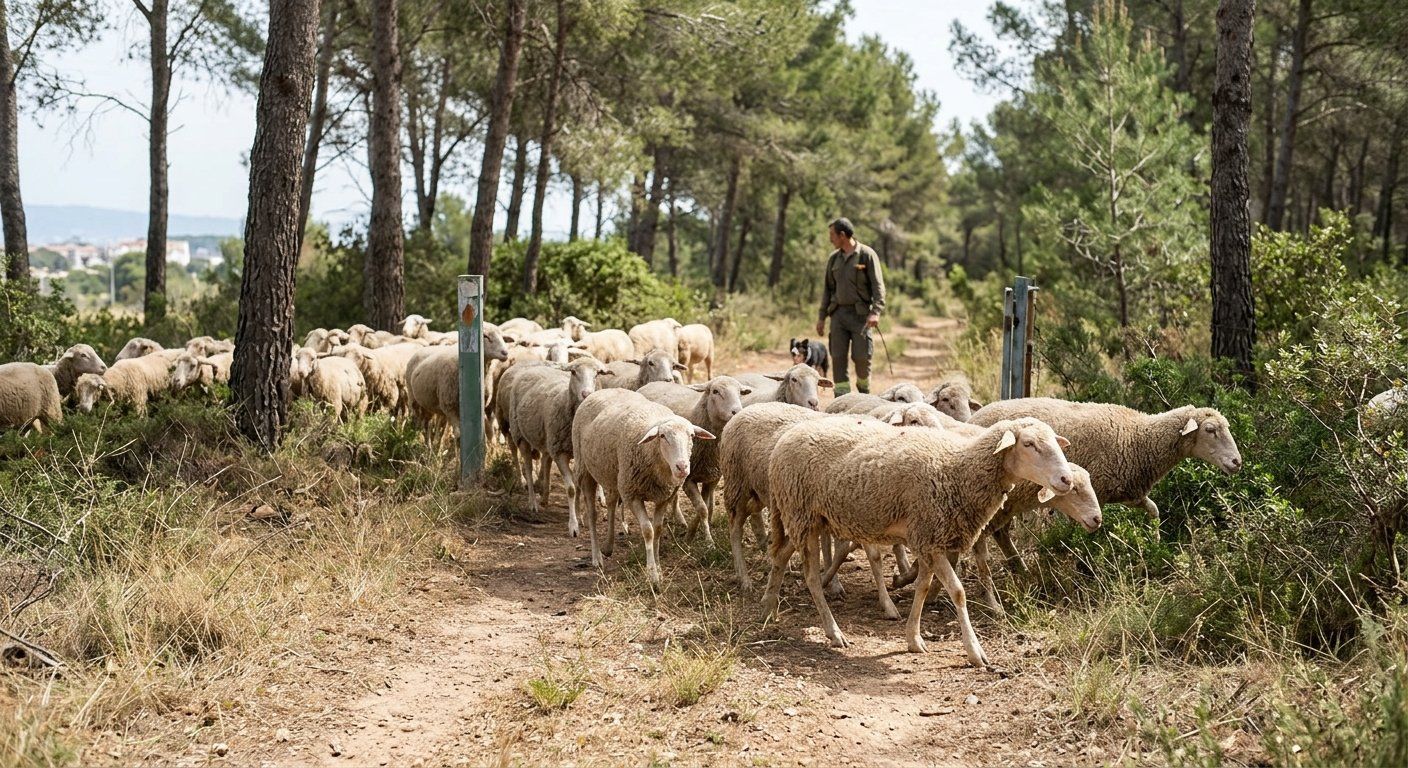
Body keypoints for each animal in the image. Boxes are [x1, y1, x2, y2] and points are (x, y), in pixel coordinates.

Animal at [506, 357, 611, 536]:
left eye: (597, 373)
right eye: (573, 372)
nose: (586, 394)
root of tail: (533, 367)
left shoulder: (579, 453)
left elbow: (579, 486)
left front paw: (581, 516)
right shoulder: (560, 452)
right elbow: (571, 489)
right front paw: (573, 525)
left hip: (547, 440)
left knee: (546, 461)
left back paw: (545, 496)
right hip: (520, 435)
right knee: (528, 467)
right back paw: (533, 502)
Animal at [572, 388, 716, 583]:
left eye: (692, 436)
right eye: (662, 436)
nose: (682, 467)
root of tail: (604, 389)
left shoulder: (664, 496)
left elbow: (658, 529)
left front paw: (659, 568)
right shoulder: (632, 495)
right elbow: (648, 530)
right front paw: (652, 574)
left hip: (615, 475)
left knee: (611, 503)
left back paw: (608, 547)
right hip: (585, 468)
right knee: (593, 514)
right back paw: (597, 557)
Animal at [638, 376, 752, 543]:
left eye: (740, 392)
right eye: (715, 391)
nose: (736, 412)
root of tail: (652, 383)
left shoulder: (711, 477)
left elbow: (704, 506)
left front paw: (694, 532)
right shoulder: (688, 479)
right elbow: (702, 508)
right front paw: (698, 539)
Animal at [763, 417, 1075, 665]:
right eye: (1029, 444)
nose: (1066, 479)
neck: (958, 470)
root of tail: (783, 441)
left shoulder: (929, 539)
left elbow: (923, 588)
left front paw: (913, 639)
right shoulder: (931, 538)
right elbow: (958, 592)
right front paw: (975, 652)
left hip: (809, 517)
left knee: (780, 555)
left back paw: (769, 608)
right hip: (801, 513)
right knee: (810, 577)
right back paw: (833, 631)